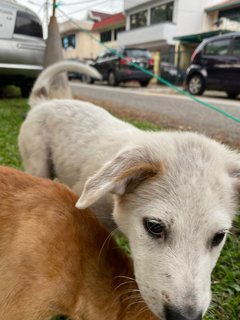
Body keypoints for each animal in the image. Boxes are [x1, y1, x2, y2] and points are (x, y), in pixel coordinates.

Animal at [19, 60, 240, 320]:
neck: (111, 197)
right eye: (154, 227)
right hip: (37, 163)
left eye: (218, 237)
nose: (185, 317)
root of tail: (44, 103)